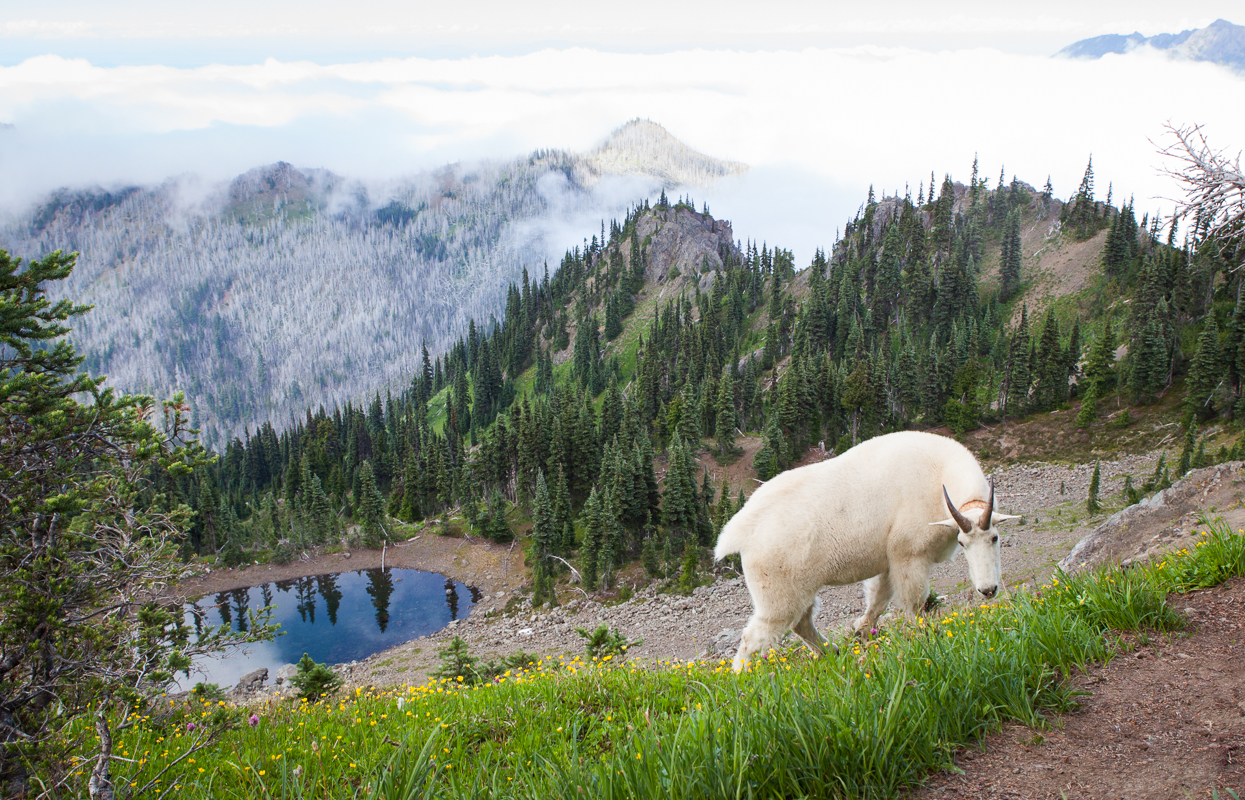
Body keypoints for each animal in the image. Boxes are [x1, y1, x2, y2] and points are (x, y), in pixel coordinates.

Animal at [717, 432, 1015, 671]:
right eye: (963, 543)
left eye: (995, 538)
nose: (988, 590)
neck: (936, 476)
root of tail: (739, 532)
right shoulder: (909, 555)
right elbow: (915, 602)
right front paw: (922, 638)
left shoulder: (890, 560)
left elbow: (878, 598)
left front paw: (861, 631)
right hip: (776, 592)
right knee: (755, 637)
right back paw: (742, 678)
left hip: (798, 587)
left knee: (800, 622)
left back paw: (831, 651)